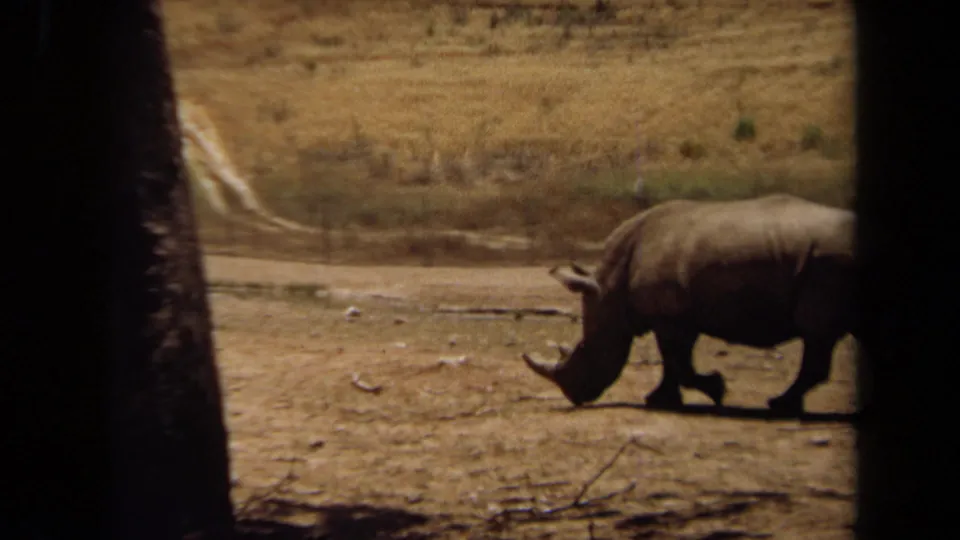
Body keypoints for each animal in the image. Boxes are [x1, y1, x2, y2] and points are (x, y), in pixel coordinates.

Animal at [521, 194, 857, 415]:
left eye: (584, 348)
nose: (574, 395)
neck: (609, 288)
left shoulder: (670, 316)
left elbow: (679, 363)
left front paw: (716, 390)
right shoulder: (676, 315)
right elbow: (673, 362)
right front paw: (660, 400)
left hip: (826, 264)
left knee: (816, 333)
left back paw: (779, 405)